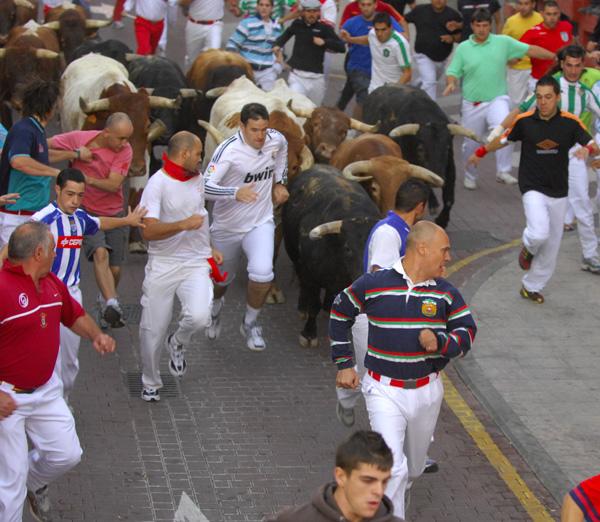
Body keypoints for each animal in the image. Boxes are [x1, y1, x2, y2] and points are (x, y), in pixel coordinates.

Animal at [282, 165, 378, 348]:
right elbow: (314, 306)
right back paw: (303, 307)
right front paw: (309, 334)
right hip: (295, 256)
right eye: (348, 248)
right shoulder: (311, 276)